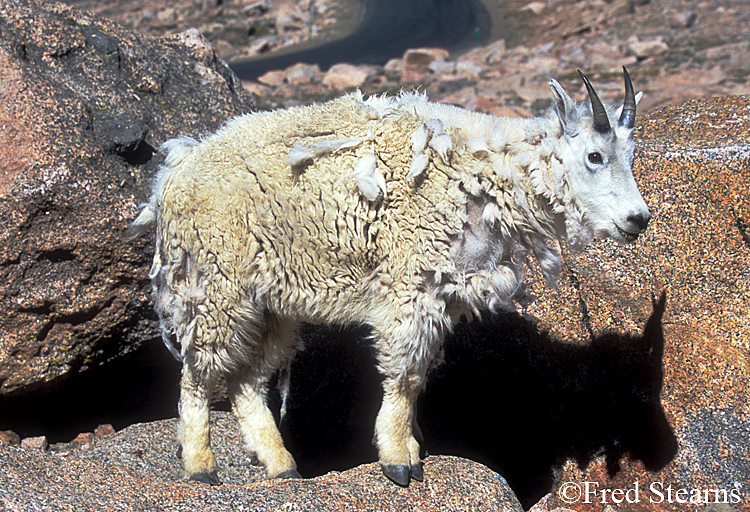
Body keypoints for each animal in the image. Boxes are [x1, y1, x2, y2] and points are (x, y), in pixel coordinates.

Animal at [129, 69, 652, 488]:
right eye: (594, 156)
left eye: (630, 156)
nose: (638, 219)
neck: (485, 175)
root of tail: (174, 174)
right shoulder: (409, 288)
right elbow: (406, 377)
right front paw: (400, 461)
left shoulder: (444, 292)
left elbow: (420, 379)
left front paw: (415, 445)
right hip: (215, 280)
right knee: (198, 371)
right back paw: (200, 464)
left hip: (269, 300)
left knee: (248, 380)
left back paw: (281, 465)